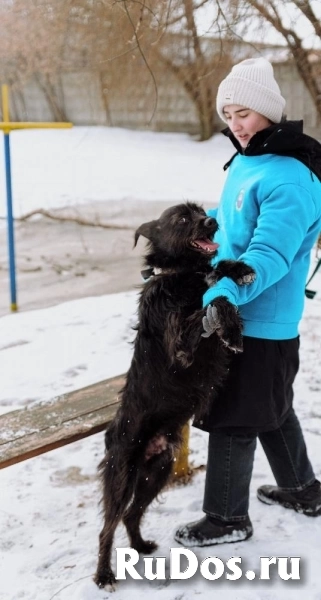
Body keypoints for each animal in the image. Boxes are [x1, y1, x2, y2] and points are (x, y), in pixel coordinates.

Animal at [94, 204, 254, 588]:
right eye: (181, 219)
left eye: (200, 211)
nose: (213, 221)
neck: (179, 274)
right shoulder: (180, 344)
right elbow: (213, 305)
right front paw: (230, 328)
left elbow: (217, 284)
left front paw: (237, 269)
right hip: (121, 476)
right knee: (108, 527)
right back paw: (104, 574)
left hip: (157, 471)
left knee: (132, 515)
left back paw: (140, 545)